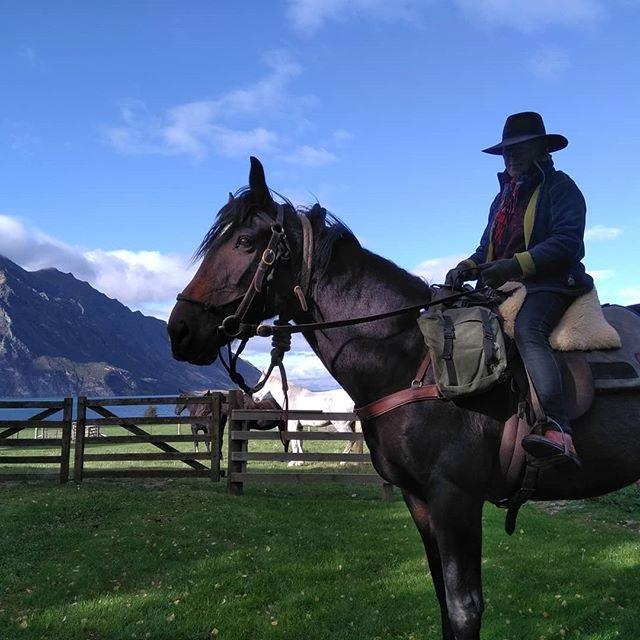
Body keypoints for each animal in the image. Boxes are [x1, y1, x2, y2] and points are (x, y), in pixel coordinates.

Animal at [166, 156, 640, 640]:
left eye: (244, 242)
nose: (179, 329)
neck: (415, 358)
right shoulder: (420, 499)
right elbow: (444, 602)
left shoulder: (455, 498)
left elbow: (464, 608)